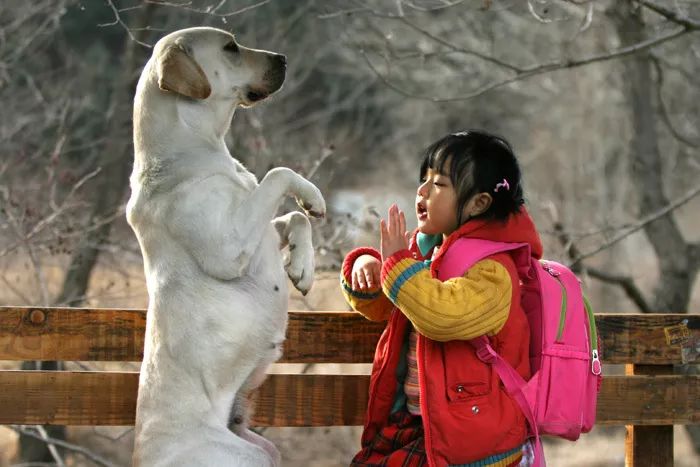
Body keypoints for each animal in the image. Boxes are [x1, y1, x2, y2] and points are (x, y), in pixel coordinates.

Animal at [126, 27, 326, 466]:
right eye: (230, 47)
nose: (283, 58)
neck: (193, 147)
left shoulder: (257, 229)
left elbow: (294, 218)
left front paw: (302, 265)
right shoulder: (228, 248)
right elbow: (279, 173)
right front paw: (313, 194)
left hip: (265, 450)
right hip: (246, 456)